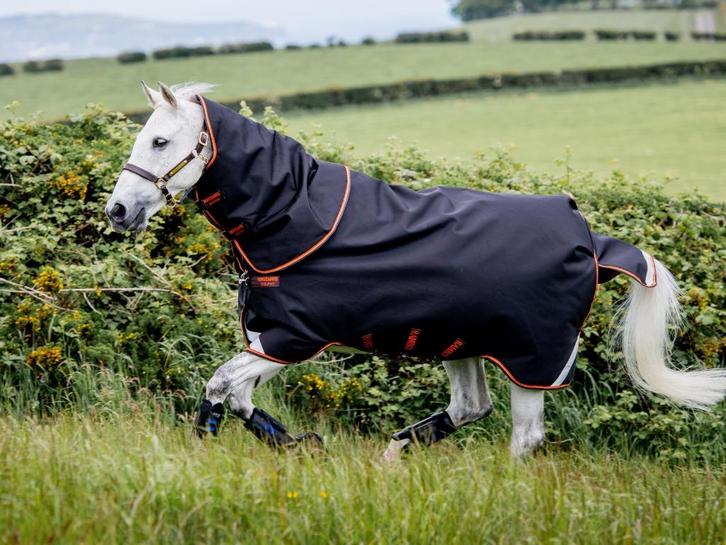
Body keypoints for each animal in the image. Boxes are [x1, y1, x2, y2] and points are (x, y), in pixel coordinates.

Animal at [105, 82, 726, 460]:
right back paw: (395, 451)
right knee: (471, 408)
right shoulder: (270, 341)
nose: (118, 211)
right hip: (463, 341)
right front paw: (296, 443)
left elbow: (219, 385)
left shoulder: (291, 338)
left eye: (160, 140)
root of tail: (591, 238)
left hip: (534, 358)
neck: (293, 216)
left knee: (525, 437)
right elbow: (237, 395)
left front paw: (206, 445)